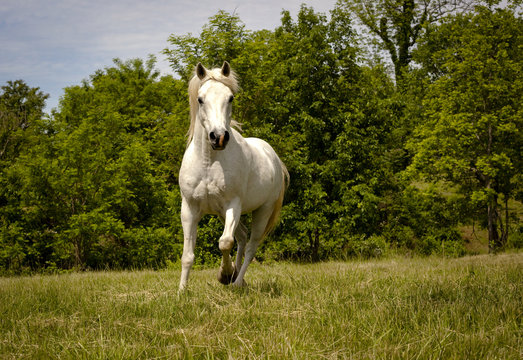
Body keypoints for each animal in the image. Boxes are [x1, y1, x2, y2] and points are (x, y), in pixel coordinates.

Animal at [179, 62, 286, 292]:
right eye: (200, 99)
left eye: (230, 98)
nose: (218, 137)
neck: (208, 162)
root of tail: (273, 157)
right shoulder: (189, 208)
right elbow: (188, 255)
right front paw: (181, 291)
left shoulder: (232, 205)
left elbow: (224, 242)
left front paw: (225, 274)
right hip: (221, 212)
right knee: (243, 237)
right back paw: (238, 278)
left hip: (262, 212)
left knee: (251, 246)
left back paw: (236, 281)